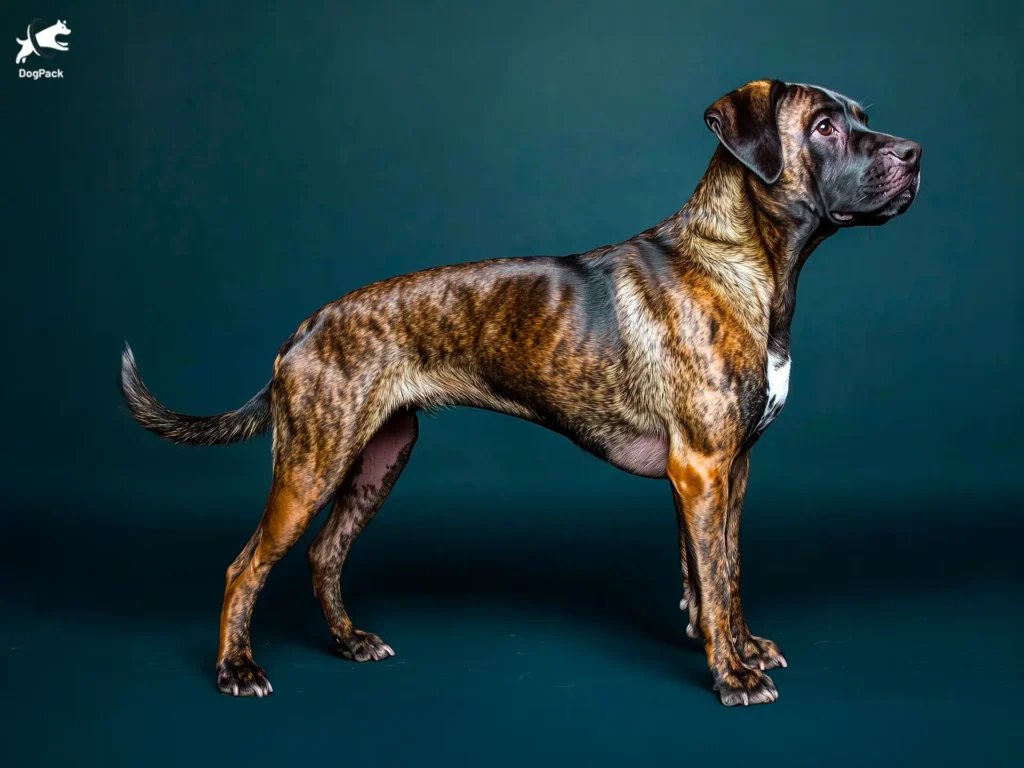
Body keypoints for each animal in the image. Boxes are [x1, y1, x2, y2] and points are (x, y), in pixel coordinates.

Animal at [119, 79, 921, 708]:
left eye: (861, 115)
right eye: (823, 127)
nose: (913, 153)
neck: (738, 258)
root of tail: (302, 331)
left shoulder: (731, 471)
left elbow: (724, 571)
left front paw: (740, 647)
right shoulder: (702, 469)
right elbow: (717, 579)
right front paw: (732, 675)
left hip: (378, 458)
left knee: (324, 555)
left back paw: (350, 642)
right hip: (313, 463)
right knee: (245, 567)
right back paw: (235, 669)